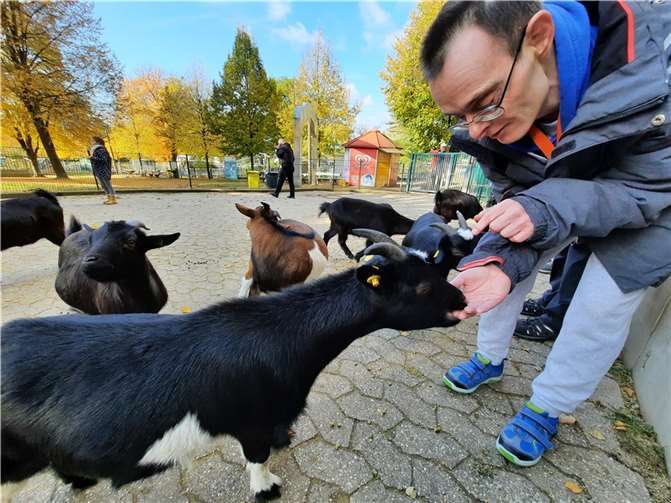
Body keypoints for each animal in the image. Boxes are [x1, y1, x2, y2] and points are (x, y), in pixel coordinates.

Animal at [1, 243, 465, 502]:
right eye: (422, 287)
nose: (462, 301)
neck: (282, 336)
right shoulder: (252, 420)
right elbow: (256, 458)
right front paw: (267, 489)